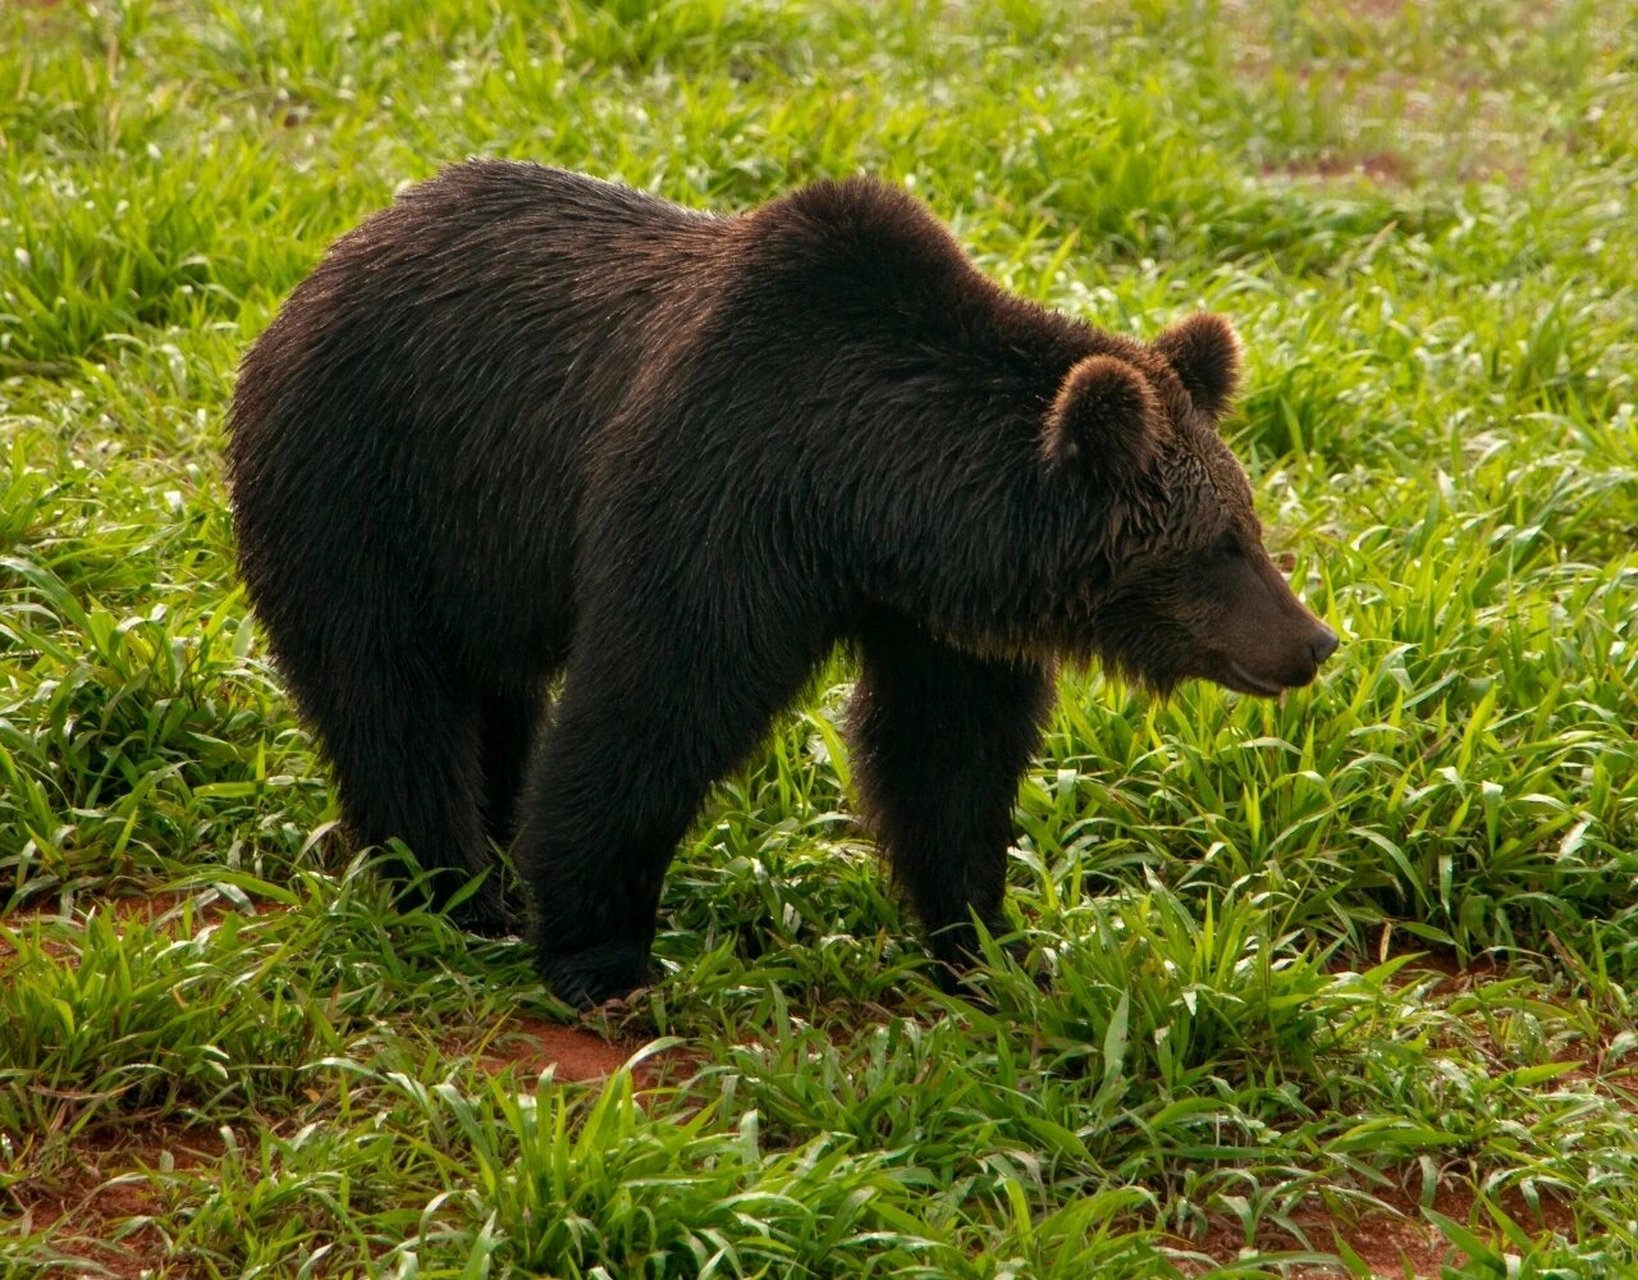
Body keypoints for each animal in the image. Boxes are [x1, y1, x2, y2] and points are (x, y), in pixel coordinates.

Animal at [227, 159, 1330, 1003]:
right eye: (1222, 542)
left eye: (1249, 523)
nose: (1313, 641)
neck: (863, 497)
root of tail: (326, 262)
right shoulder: (719, 503)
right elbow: (652, 711)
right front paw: (600, 952)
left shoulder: (935, 617)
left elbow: (948, 763)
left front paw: (990, 949)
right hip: (363, 489)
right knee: (391, 698)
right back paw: (454, 889)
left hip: (473, 549)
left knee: (494, 701)